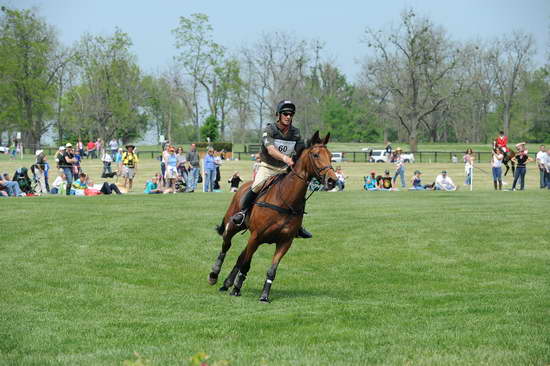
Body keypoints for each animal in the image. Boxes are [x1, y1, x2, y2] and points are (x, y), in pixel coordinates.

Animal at [209, 132, 338, 304]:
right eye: (316, 155)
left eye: (330, 156)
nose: (332, 180)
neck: (286, 199)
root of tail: (243, 187)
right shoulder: (256, 236)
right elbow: (246, 265)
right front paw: (236, 289)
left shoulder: (285, 242)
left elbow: (271, 270)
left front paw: (264, 295)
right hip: (234, 225)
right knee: (226, 245)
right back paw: (214, 275)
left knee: (241, 255)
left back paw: (227, 282)